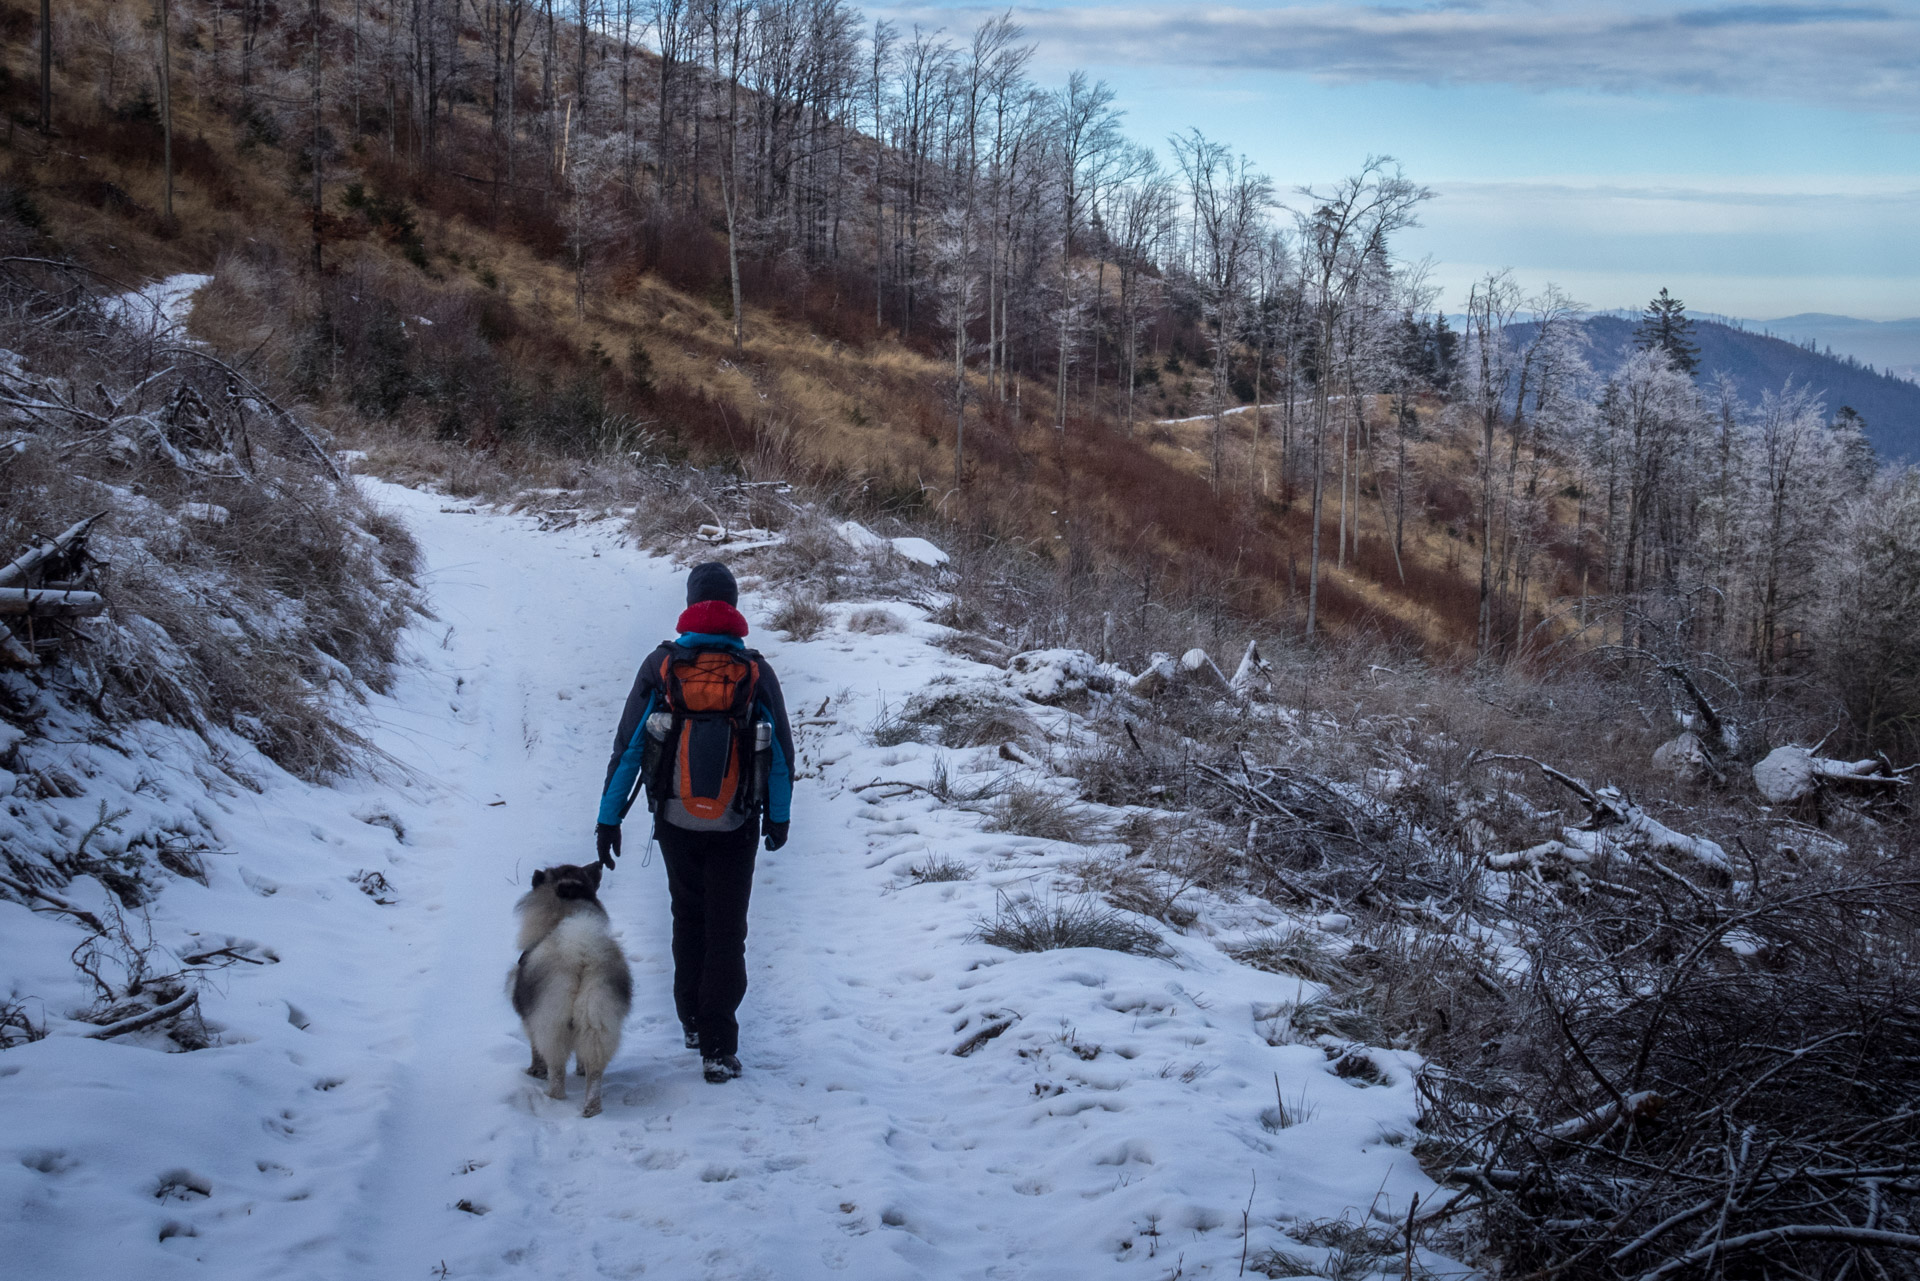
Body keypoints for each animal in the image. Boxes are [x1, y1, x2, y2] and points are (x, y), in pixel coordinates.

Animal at [510, 860, 629, 1121]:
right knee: (595, 1072)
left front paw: (534, 1071)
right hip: (598, 1017)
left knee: (556, 1072)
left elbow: (535, 1051)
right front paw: (580, 1071)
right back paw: (592, 1108)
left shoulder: (530, 1020)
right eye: (582, 869)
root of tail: (582, 952)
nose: (599, 862)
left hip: (551, 1022)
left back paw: (551, 1098)